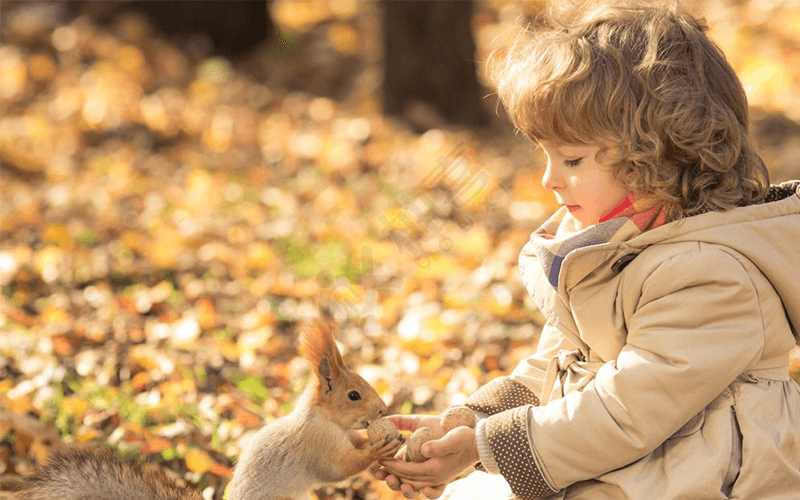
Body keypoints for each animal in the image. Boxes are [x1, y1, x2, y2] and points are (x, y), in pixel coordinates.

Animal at [7, 320, 400, 500]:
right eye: (353, 395)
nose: (383, 411)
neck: (323, 419)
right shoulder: (315, 445)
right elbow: (338, 469)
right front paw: (376, 450)